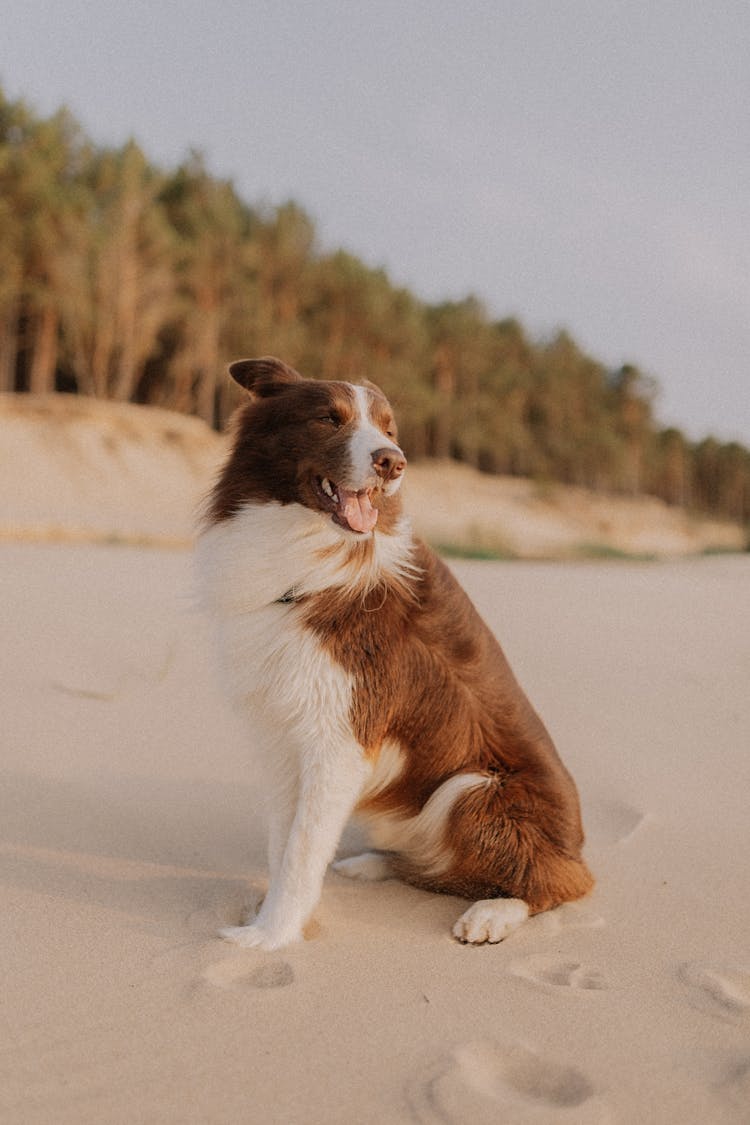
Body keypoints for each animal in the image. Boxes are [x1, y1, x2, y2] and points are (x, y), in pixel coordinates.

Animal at [196, 353, 593, 949]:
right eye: (328, 419)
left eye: (389, 429)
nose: (393, 462)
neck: (313, 551)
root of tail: (579, 847)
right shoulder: (284, 728)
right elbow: (283, 841)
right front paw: (271, 919)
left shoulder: (341, 733)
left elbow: (300, 851)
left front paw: (269, 937)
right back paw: (375, 862)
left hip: (473, 788)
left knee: (561, 883)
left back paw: (493, 912)